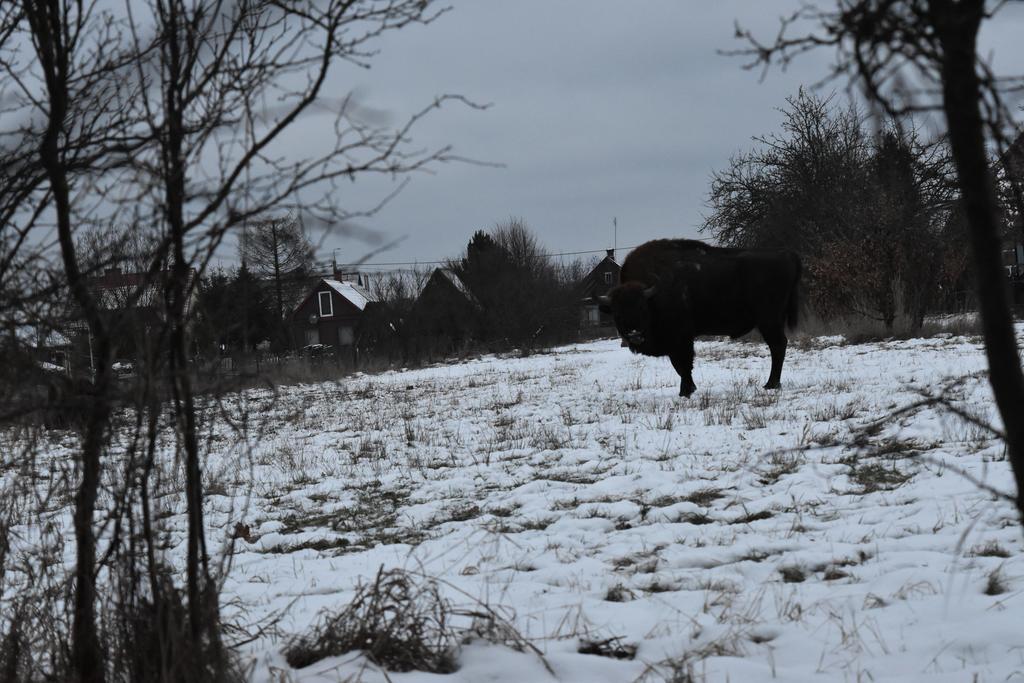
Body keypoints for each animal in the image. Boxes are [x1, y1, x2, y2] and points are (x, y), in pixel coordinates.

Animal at [598, 239, 798, 395]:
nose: (634, 335)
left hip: (769, 321)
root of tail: (786, 255)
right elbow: (679, 366)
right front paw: (689, 389)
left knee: (778, 346)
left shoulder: (681, 339)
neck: (654, 296)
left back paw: (771, 385)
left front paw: (686, 391)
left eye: (642, 308)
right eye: (617, 312)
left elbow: (683, 364)